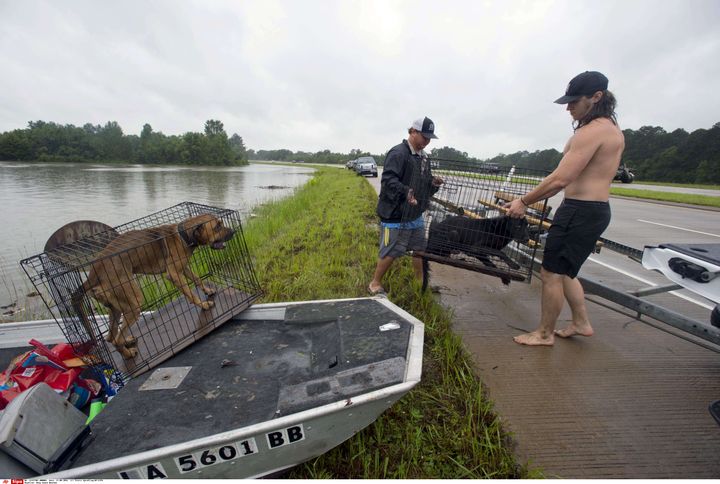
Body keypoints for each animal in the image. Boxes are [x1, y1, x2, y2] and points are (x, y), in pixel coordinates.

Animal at [70, 214, 235, 358]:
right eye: (217, 226)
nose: (234, 231)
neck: (182, 236)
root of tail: (93, 276)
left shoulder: (183, 268)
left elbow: (197, 279)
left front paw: (207, 290)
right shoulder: (173, 274)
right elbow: (190, 293)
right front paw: (203, 304)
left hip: (116, 308)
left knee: (111, 337)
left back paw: (127, 341)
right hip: (134, 301)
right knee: (116, 339)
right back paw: (129, 354)